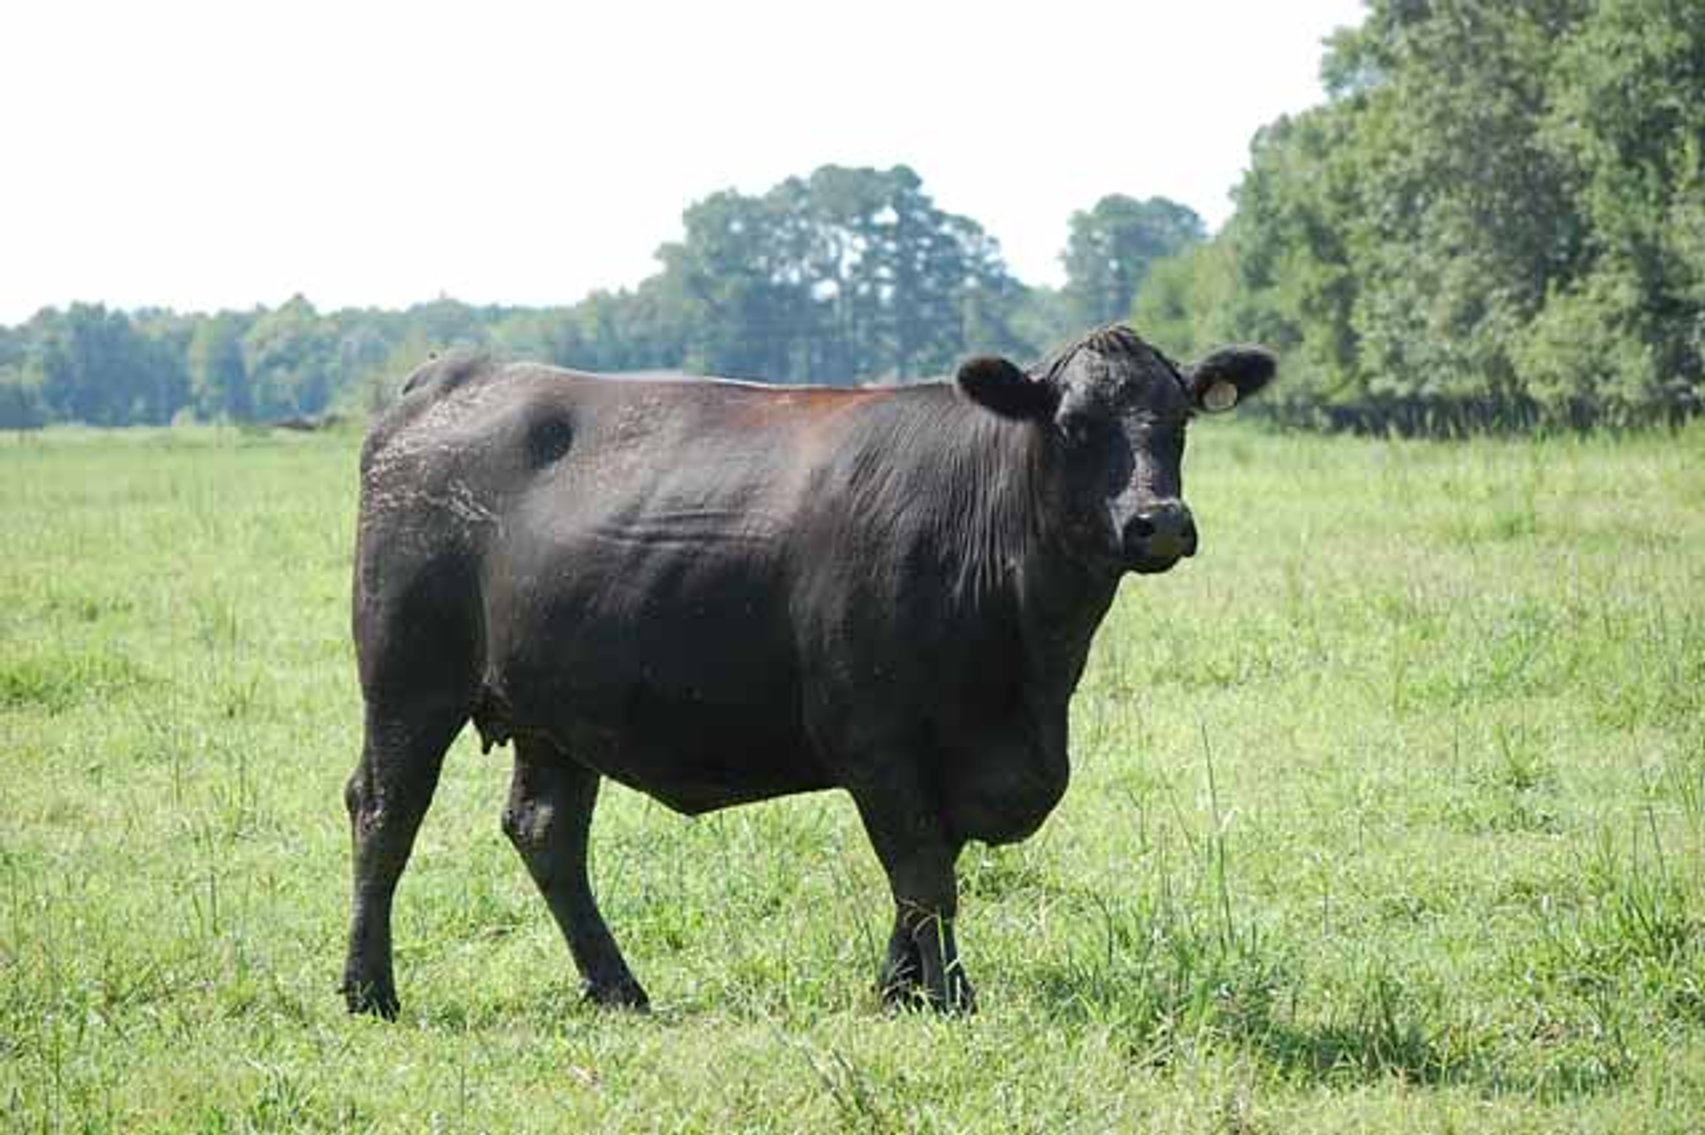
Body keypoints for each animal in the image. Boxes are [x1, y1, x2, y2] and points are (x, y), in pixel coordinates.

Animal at [341, 325, 1274, 1018]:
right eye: (1074, 425)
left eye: (1179, 421)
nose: (1159, 521)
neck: (1031, 669)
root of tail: (459, 372)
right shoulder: (874, 735)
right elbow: (922, 872)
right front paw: (949, 996)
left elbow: (928, 870)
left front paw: (900, 989)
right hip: (407, 681)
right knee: (384, 811)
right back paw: (368, 989)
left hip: (554, 711)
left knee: (545, 830)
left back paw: (617, 987)